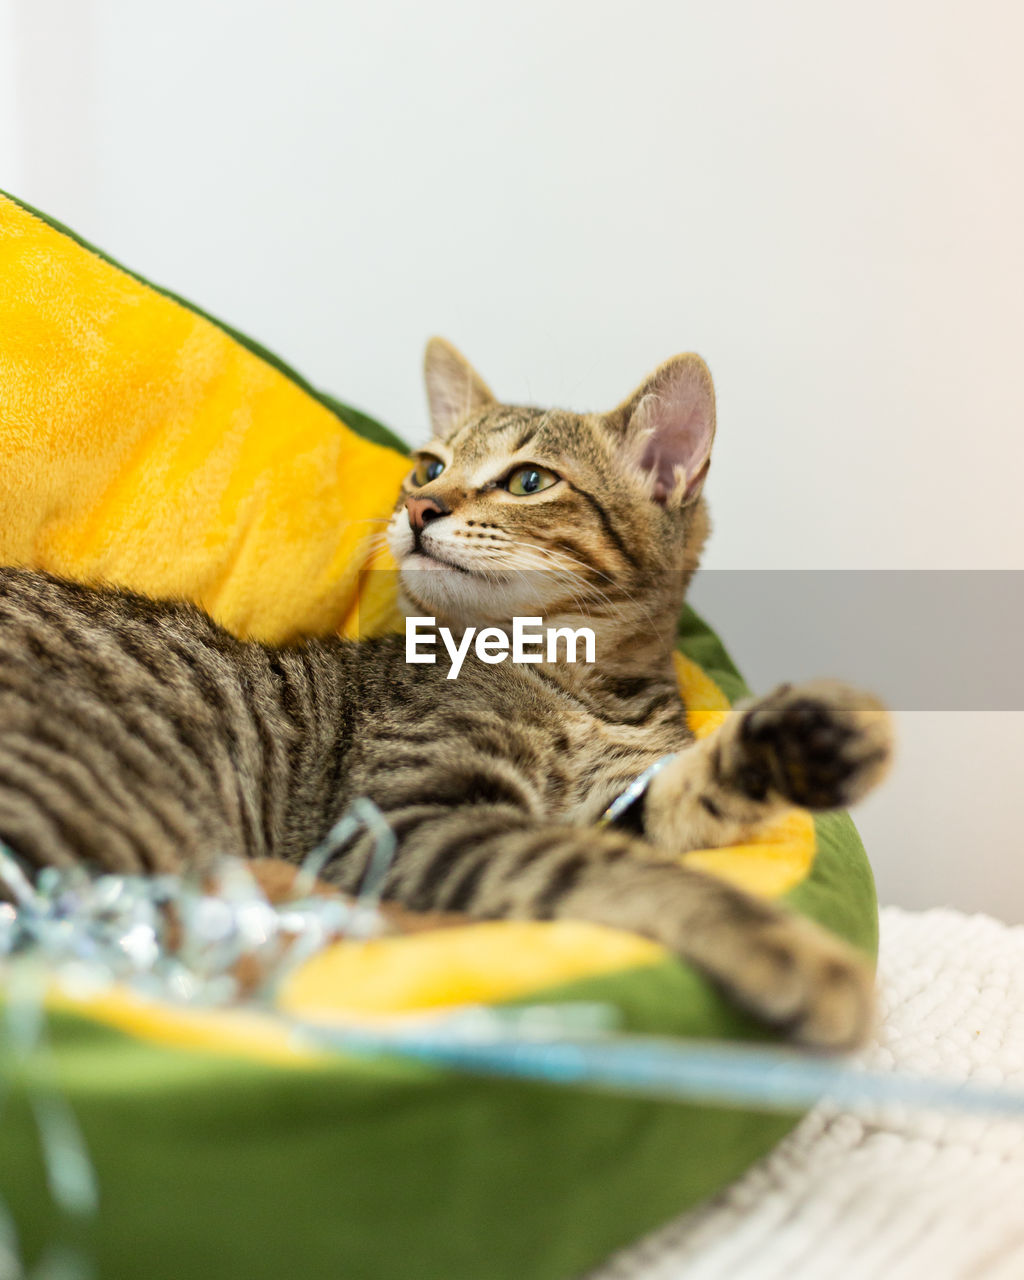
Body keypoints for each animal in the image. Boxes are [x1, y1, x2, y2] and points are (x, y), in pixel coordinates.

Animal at [0, 343, 885, 1049]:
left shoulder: (611, 794)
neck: (576, 686)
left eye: (528, 480)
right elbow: (600, 870)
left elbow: (665, 804)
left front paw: (806, 742)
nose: (420, 506)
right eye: (427, 467)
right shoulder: (410, 818)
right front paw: (793, 952)